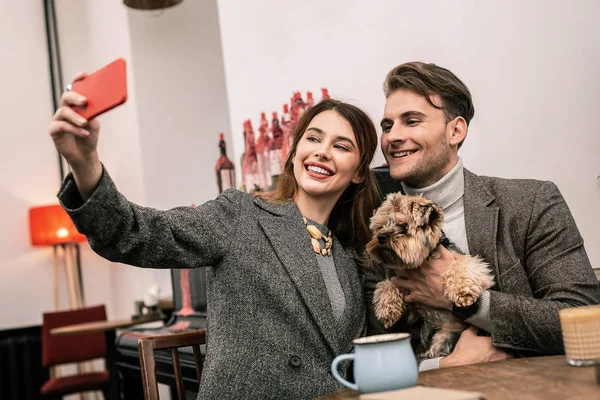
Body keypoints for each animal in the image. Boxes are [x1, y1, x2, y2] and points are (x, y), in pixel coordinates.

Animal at [368, 193, 494, 360]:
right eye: (380, 226)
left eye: (404, 226)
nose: (381, 237)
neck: (423, 261)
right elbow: (387, 284)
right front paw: (387, 310)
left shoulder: (473, 264)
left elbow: (460, 266)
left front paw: (463, 293)